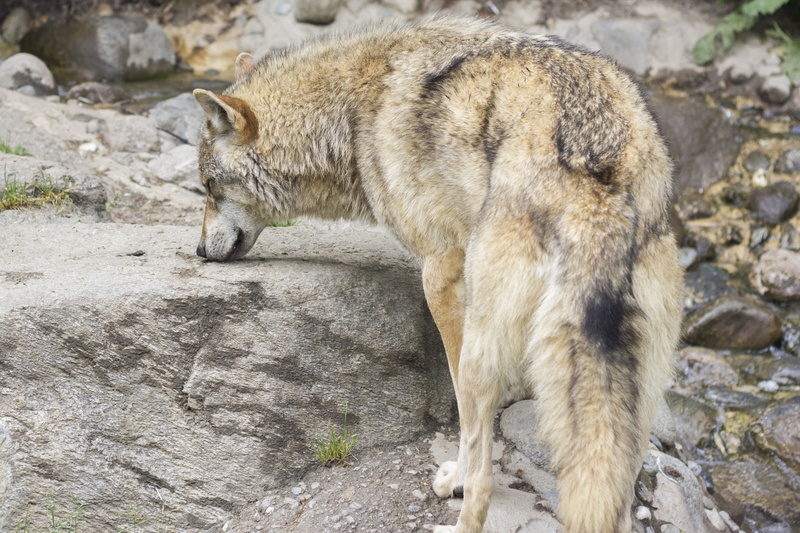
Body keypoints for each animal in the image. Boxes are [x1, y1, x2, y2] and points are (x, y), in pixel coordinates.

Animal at [192, 15, 682, 533]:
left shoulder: (440, 273)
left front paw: (456, 480)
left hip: (483, 350)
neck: (352, 115)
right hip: (635, 397)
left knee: (486, 475)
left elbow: (464, 419)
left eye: (207, 186)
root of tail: (599, 192)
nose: (199, 251)